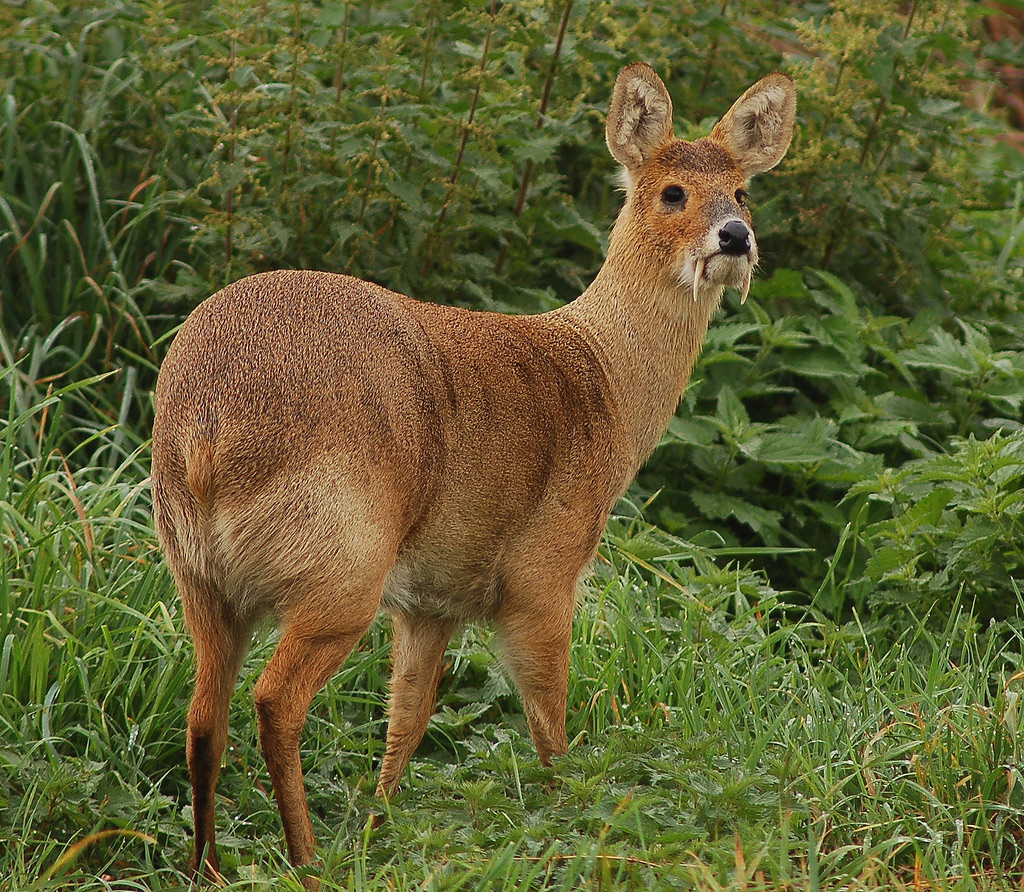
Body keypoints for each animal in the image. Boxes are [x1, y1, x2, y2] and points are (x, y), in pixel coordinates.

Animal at [151, 62, 794, 884]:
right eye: (672, 191)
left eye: (743, 190)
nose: (735, 237)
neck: (602, 382)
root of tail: (202, 428)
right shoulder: (542, 576)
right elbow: (551, 728)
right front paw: (570, 827)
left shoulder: (433, 599)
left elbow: (407, 720)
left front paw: (382, 828)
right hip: (340, 567)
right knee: (275, 701)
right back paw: (308, 858)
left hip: (201, 577)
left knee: (203, 718)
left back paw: (209, 865)